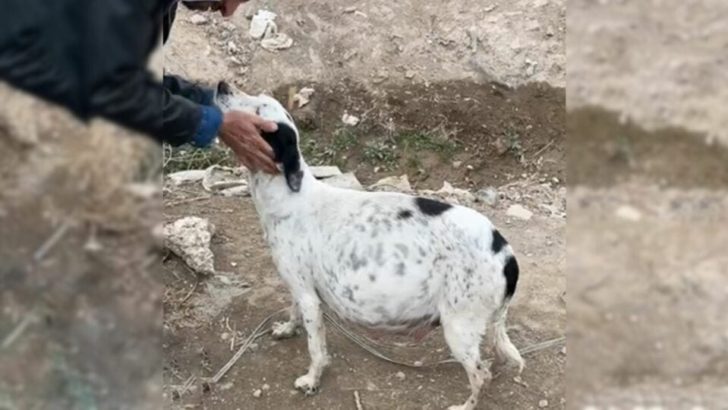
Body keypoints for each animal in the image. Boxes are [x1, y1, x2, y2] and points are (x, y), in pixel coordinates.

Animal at [212, 81, 524, 410]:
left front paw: (311, 380)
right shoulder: (299, 286)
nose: (221, 84)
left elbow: (316, 348)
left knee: (481, 375)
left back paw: (466, 405)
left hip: (459, 327)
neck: (288, 194)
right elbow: (292, 309)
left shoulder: (310, 299)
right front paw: (287, 329)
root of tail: (505, 250)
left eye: (259, 109)